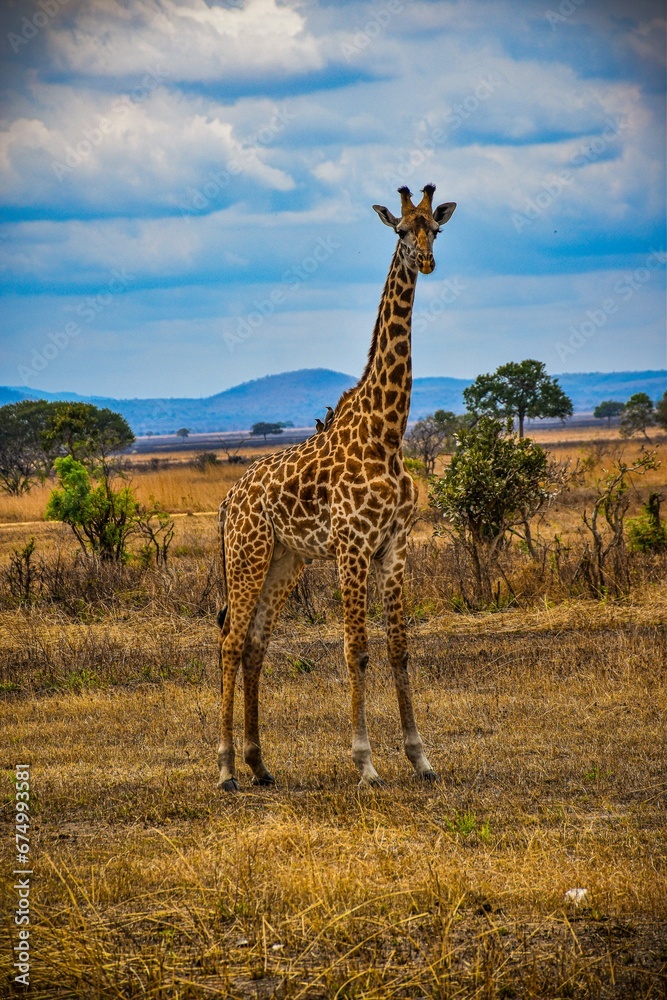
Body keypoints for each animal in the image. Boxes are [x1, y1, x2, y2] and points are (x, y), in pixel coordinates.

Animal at [216, 184, 457, 791]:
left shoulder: (394, 545)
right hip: (248, 555)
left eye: (436, 229)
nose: (426, 261)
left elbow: (398, 648)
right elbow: (357, 649)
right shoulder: (352, 547)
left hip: (285, 560)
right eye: (402, 230)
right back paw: (225, 768)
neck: (387, 432)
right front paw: (366, 762)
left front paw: (420, 757)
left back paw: (259, 764)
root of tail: (229, 501)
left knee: (255, 645)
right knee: (230, 642)